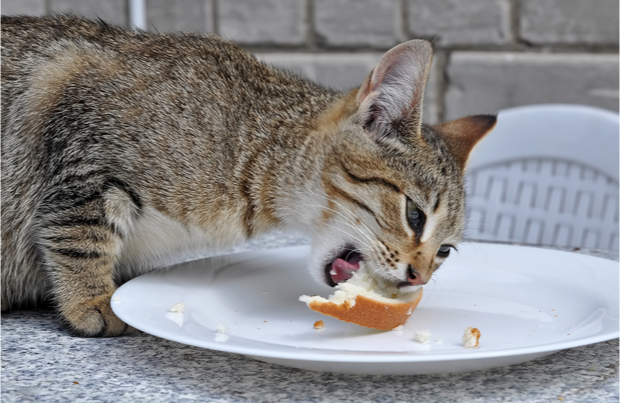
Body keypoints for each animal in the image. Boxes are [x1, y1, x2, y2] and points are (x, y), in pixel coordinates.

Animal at [0, 15, 494, 338]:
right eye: (415, 216)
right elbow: (79, 234)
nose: (419, 278)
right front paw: (91, 298)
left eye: (445, 251)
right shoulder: (83, 138)